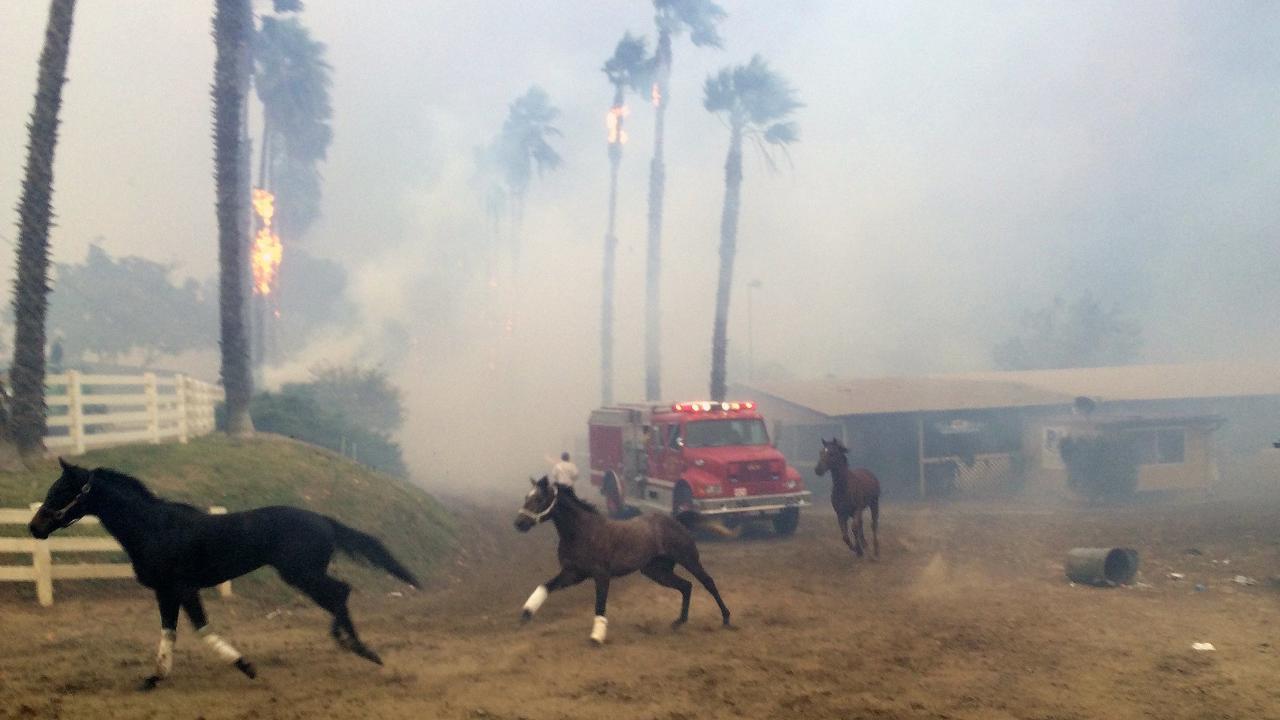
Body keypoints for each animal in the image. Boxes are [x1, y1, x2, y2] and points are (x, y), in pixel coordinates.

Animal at [27, 458, 419, 691]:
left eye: (62, 490)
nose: (34, 527)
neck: (155, 528)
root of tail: (324, 520)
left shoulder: (184, 589)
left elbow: (202, 630)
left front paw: (246, 666)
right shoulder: (165, 592)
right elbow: (168, 633)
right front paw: (154, 677)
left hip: (302, 574)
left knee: (340, 593)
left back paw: (358, 648)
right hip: (303, 574)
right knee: (340, 593)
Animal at [512, 474, 732, 640]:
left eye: (539, 499)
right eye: (526, 497)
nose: (519, 523)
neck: (582, 531)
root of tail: (676, 520)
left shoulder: (601, 575)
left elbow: (600, 605)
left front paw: (596, 637)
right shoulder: (573, 573)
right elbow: (545, 586)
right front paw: (526, 613)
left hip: (689, 559)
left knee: (707, 583)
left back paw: (726, 618)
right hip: (656, 571)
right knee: (686, 586)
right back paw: (679, 622)